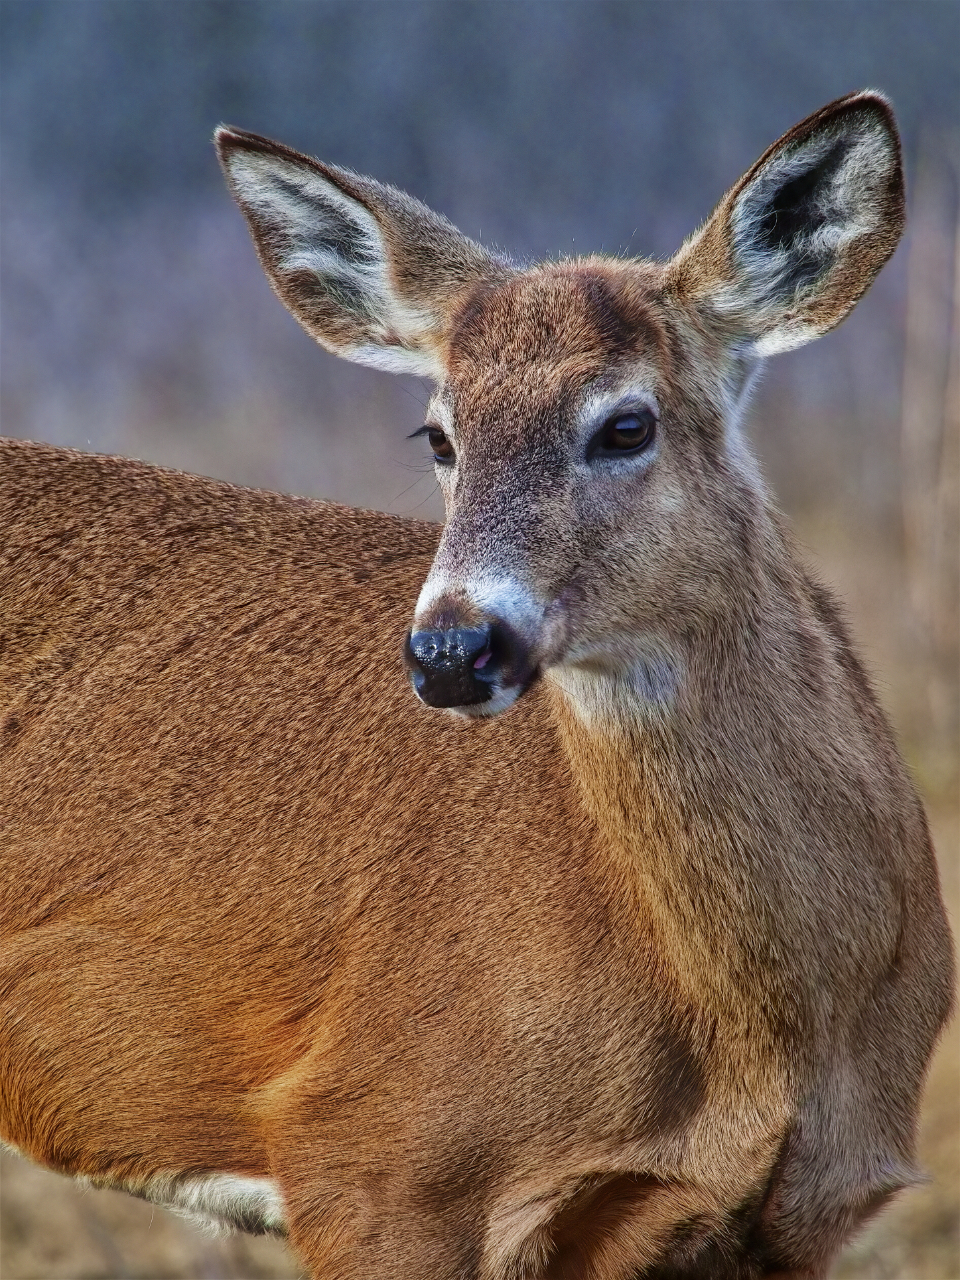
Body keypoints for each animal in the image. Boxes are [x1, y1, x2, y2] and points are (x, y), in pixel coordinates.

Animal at [0, 90, 954, 1280]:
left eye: (626, 424)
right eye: (438, 434)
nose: (453, 648)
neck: (774, 1026)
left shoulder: (803, 1214)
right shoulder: (375, 1156)